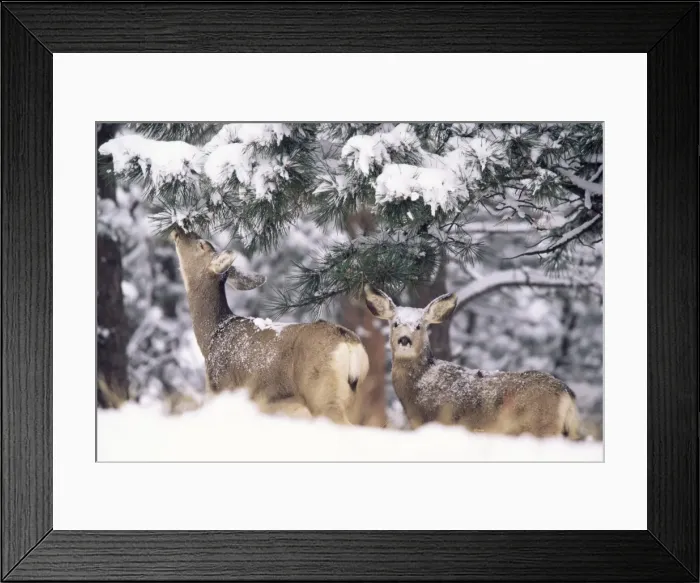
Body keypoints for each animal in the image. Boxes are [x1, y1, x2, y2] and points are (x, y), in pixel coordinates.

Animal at [170, 226, 369, 424]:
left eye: (202, 244)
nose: (179, 228)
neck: (212, 335)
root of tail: (350, 343)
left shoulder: (223, 389)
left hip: (322, 394)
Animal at [364, 285, 582, 439]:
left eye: (419, 326)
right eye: (395, 323)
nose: (404, 340)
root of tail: (567, 393)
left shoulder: (440, 421)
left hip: (541, 426)